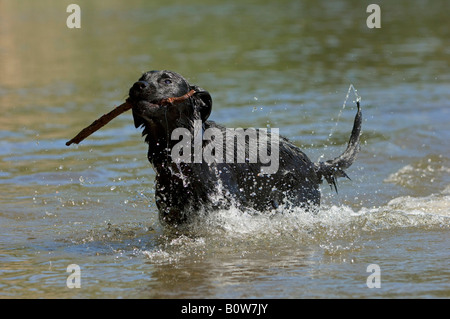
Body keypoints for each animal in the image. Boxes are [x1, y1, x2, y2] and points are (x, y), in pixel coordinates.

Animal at [127, 70, 362, 225]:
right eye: (142, 77)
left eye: (167, 80)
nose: (137, 86)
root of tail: (312, 165)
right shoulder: (171, 210)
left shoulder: (224, 203)